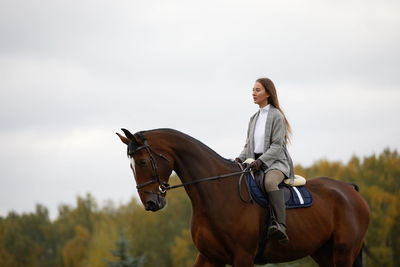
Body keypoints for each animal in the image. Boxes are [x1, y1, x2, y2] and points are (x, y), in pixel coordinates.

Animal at [115, 129, 368, 266]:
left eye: (142, 162)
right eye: (131, 166)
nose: (150, 203)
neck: (217, 193)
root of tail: (350, 189)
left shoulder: (243, 257)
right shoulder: (210, 256)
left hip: (344, 253)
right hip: (324, 253)